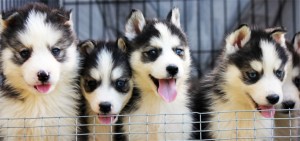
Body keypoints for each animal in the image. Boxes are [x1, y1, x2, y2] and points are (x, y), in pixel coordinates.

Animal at [0, 2, 81, 140]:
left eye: (55, 50)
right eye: (24, 53)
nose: (43, 75)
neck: (39, 100)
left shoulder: (65, 129)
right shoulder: (10, 129)